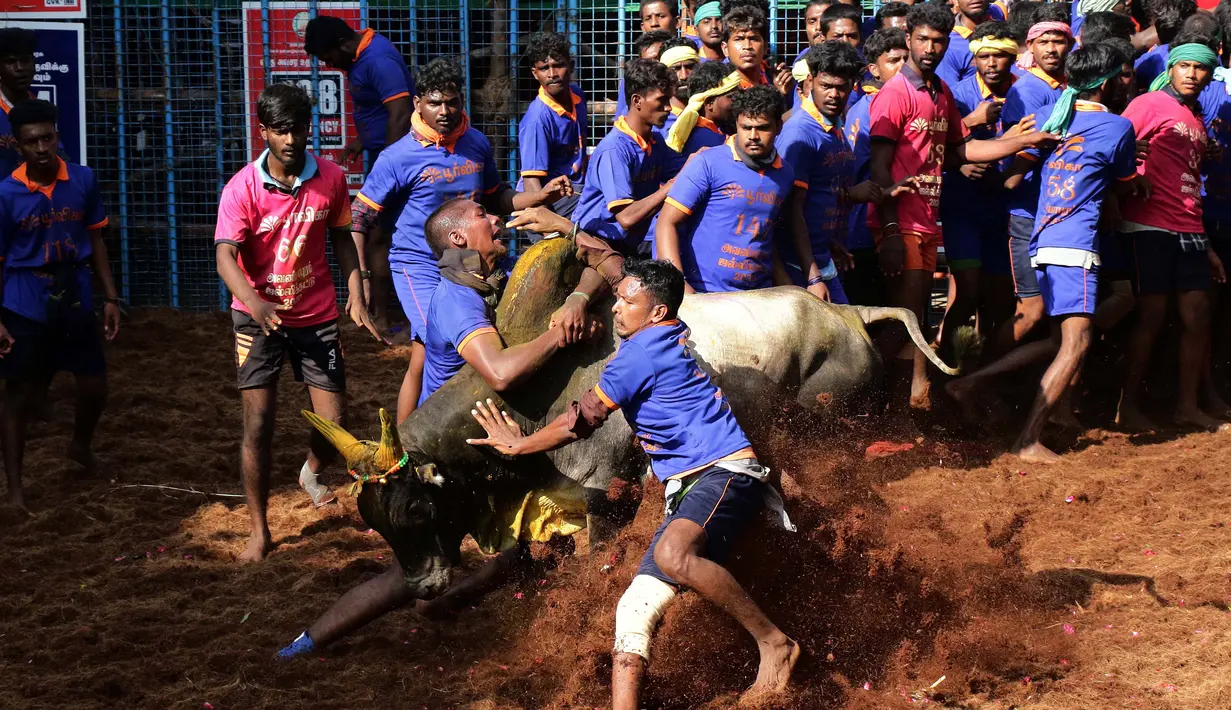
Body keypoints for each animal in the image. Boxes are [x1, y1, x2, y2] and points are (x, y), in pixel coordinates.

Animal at [288, 235, 950, 649]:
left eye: (419, 507)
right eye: (374, 521)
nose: (423, 585)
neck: (527, 394)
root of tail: (850, 315)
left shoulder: (603, 499)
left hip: (831, 430)